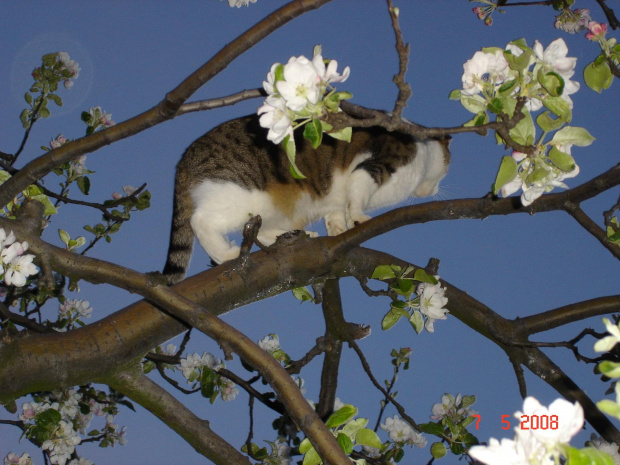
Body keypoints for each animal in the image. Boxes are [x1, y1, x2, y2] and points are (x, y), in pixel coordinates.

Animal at [162, 114, 448, 284]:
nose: (435, 190)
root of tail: (184, 159)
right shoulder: (376, 165)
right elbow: (357, 196)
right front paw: (358, 219)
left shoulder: (334, 199)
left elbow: (335, 216)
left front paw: (339, 231)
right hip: (239, 195)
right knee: (200, 221)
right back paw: (227, 254)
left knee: (261, 230)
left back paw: (297, 236)